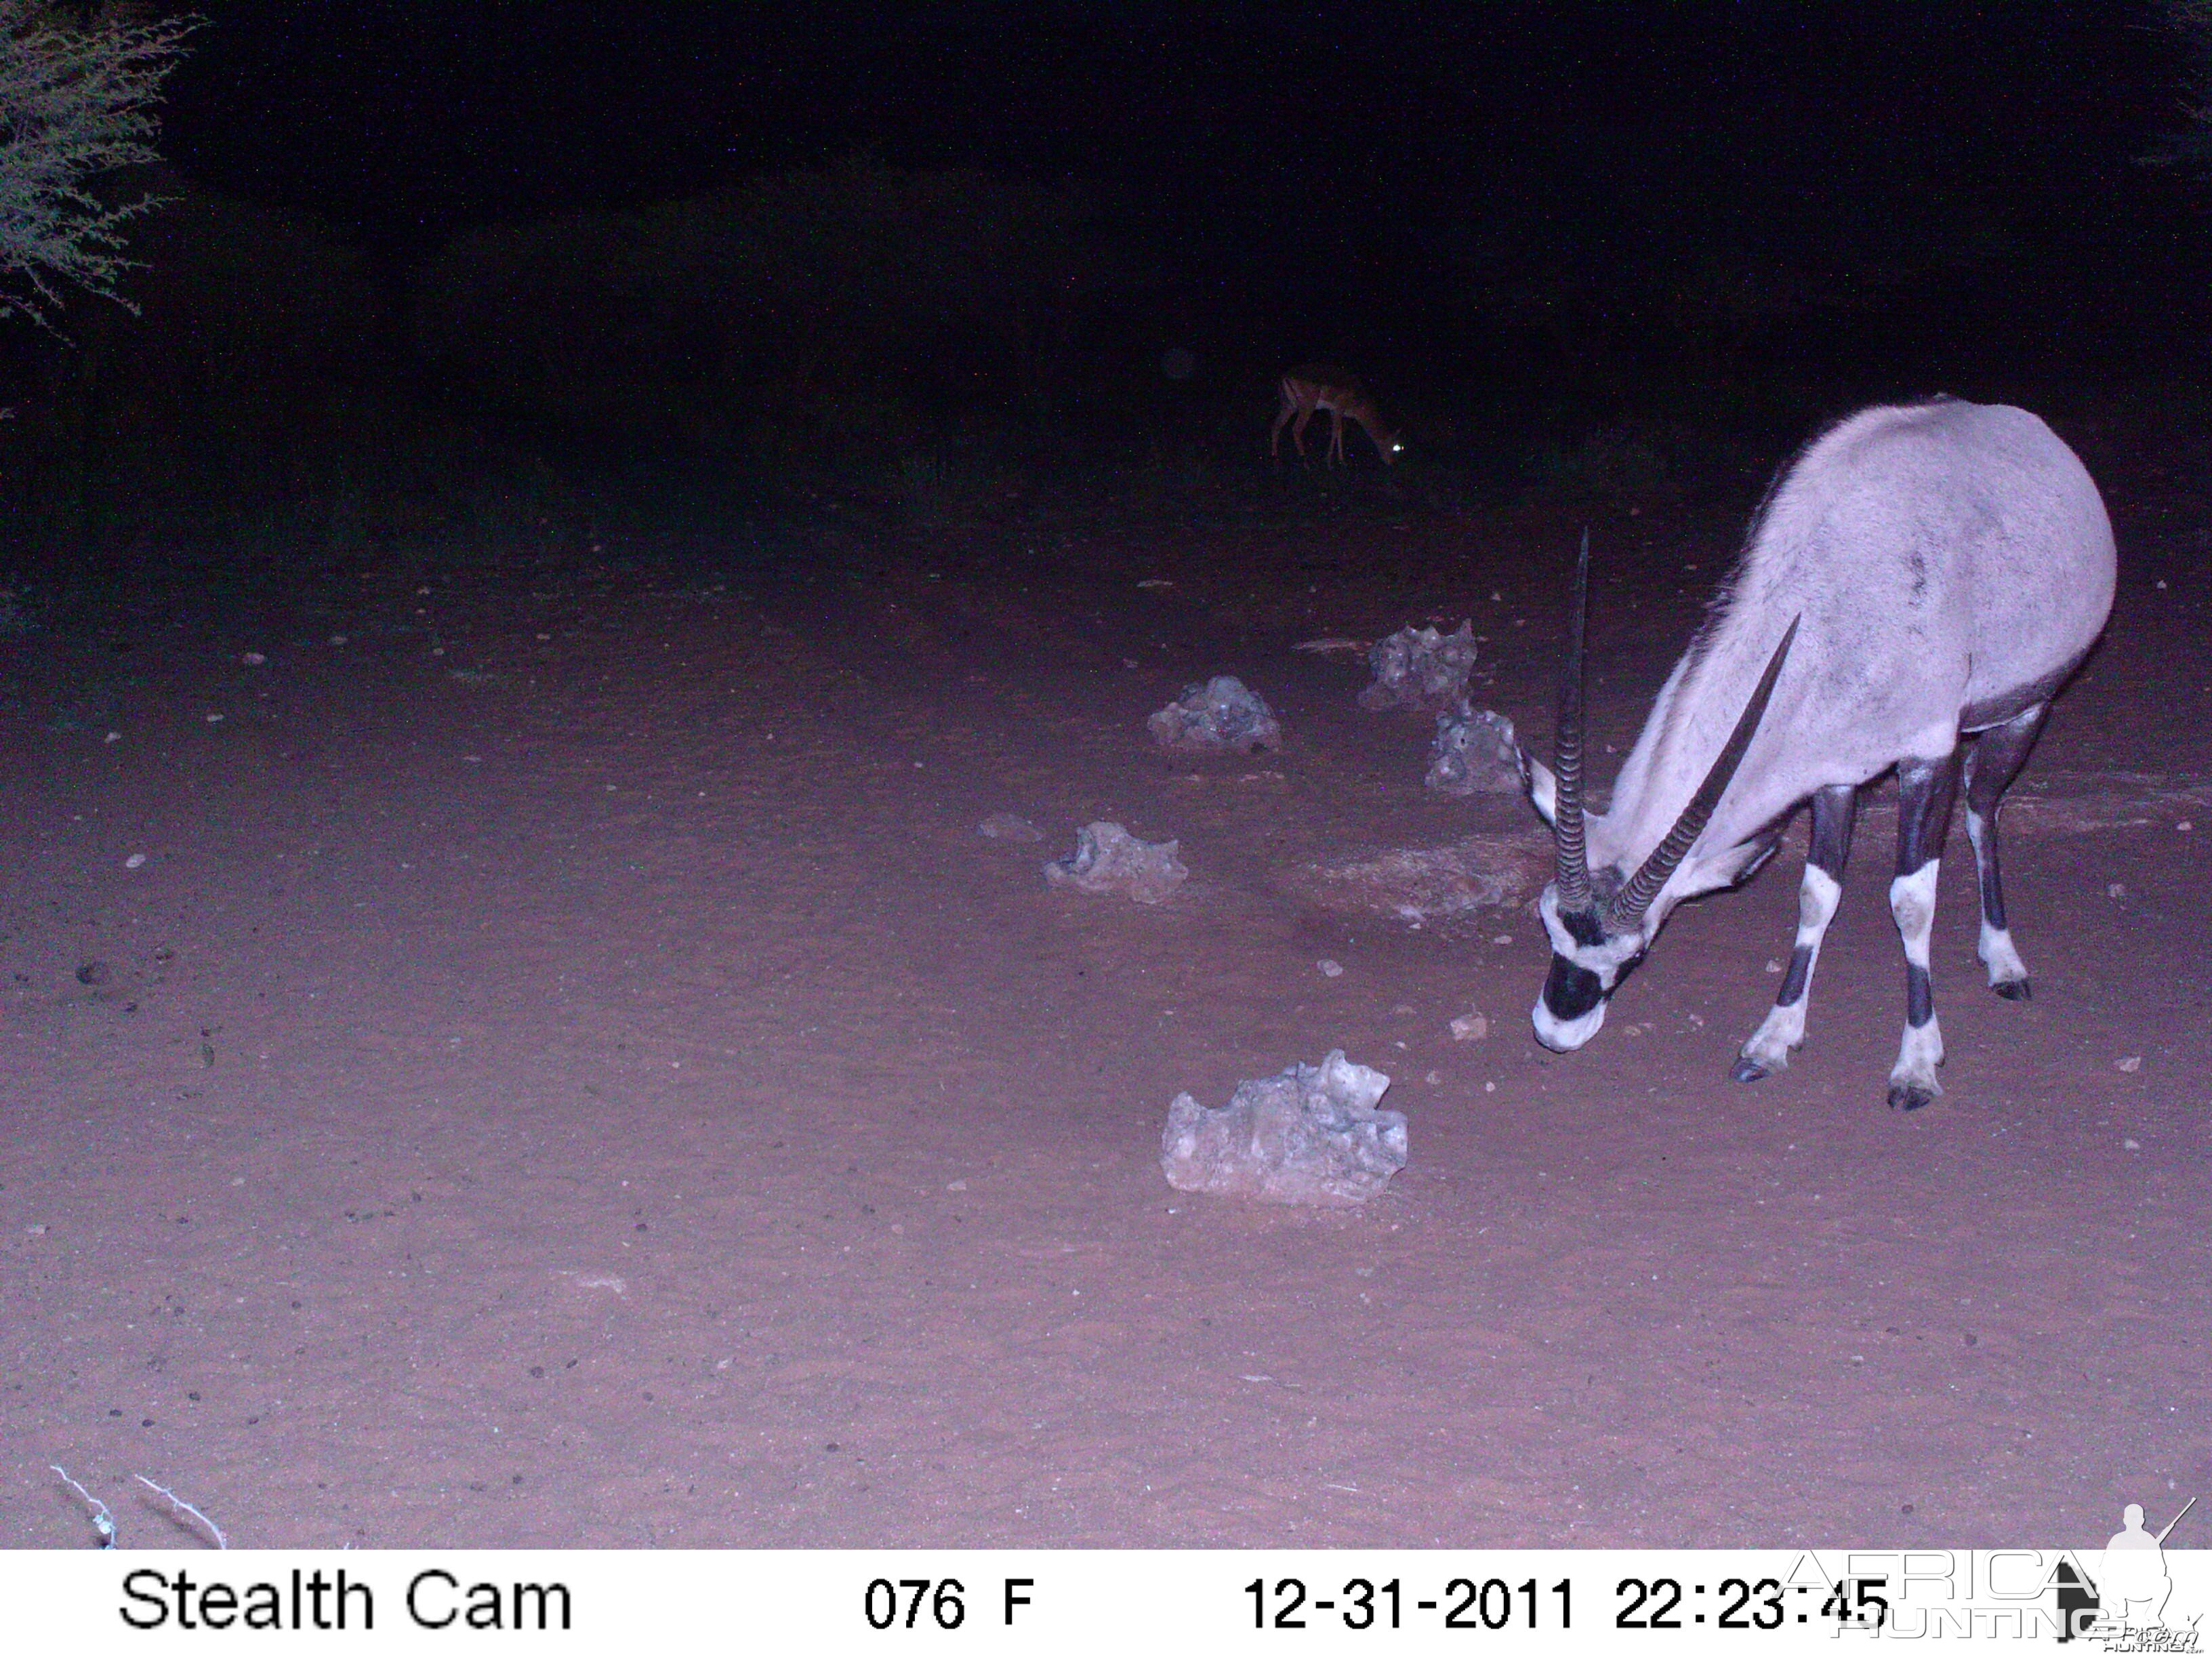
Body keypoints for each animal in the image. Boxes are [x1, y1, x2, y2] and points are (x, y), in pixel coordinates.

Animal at [1274, 365, 1389, 468]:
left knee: (1276, 426)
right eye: (1392, 447)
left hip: (1288, 405)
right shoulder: (1339, 408)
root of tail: (1285, 378)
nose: (1390, 462)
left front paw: (1342, 461)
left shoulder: (1334, 411)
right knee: (1296, 429)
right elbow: (1334, 432)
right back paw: (1306, 463)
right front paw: (1329, 462)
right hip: (1307, 404)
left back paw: (1275, 457)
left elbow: (1339, 432)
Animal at [1513, 396, 2114, 1110]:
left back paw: (2003, 959)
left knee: (1981, 809)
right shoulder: (1833, 775)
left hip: (2025, 709)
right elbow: (1816, 894)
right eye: (1548, 923)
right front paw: (1773, 1039)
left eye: (1634, 956)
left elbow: (1912, 902)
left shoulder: (1927, 755)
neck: (1830, 598)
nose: (1556, 1030)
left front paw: (1917, 1062)